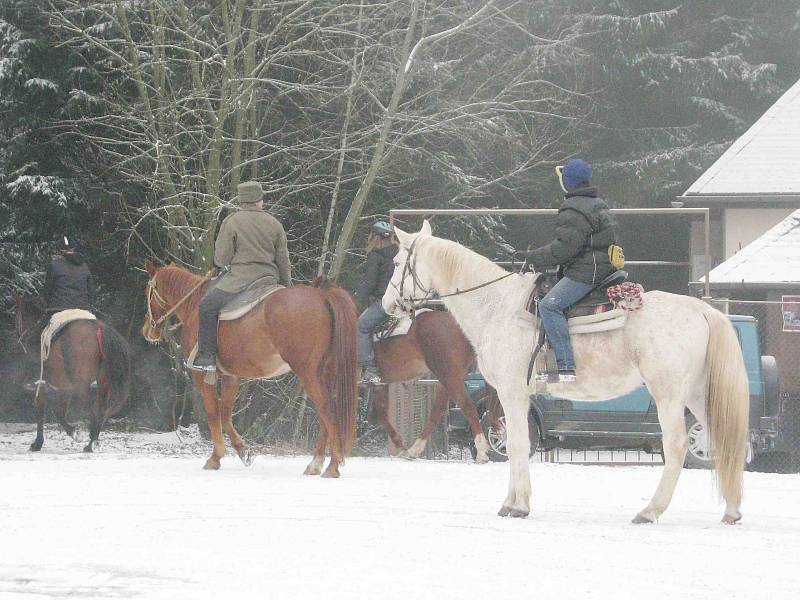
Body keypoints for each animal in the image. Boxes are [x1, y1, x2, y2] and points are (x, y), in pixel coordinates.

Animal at [14, 292, 132, 452]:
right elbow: (59, 411)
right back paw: (93, 441)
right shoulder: (65, 386)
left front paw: (39, 442)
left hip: (81, 383)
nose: (20, 338)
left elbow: (45, 408)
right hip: (103, 382)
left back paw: (90, 442)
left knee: (92, 410)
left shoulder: (47, 382)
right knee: (101, 409)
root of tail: (99, 329)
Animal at [142, 260, 358, 476]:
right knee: (324, 414)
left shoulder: (202, 374)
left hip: (308, 374)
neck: (194, 304)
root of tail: (322, 295)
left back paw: (332, 465)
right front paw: (242, 450)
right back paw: (315, 463)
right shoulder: (230, 376)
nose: (147, 330)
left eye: (147, 292)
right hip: (325, 373)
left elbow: (213, 412)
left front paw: (215, 457)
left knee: (327, 410)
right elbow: (225, 414)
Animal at [368, 312, 488, 462]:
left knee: (467, 406)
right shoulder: (380, 384)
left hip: (448, 376)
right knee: (437, 411)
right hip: (447, 379)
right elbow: (382, 415)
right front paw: (399, 443)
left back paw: (482, 452)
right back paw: (412, 450)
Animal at [384, 221, 748, 524]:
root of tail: (702, 310)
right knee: (721, 440)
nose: (388, 305)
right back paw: (731, 511)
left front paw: (518, 506)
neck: (496, 306)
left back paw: (649, 511)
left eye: (398, 263)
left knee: (676, 445)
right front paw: (511, 502)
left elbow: (516, 444)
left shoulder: (513, 393)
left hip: (669, 395)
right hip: (698, 393)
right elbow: (515, 443)